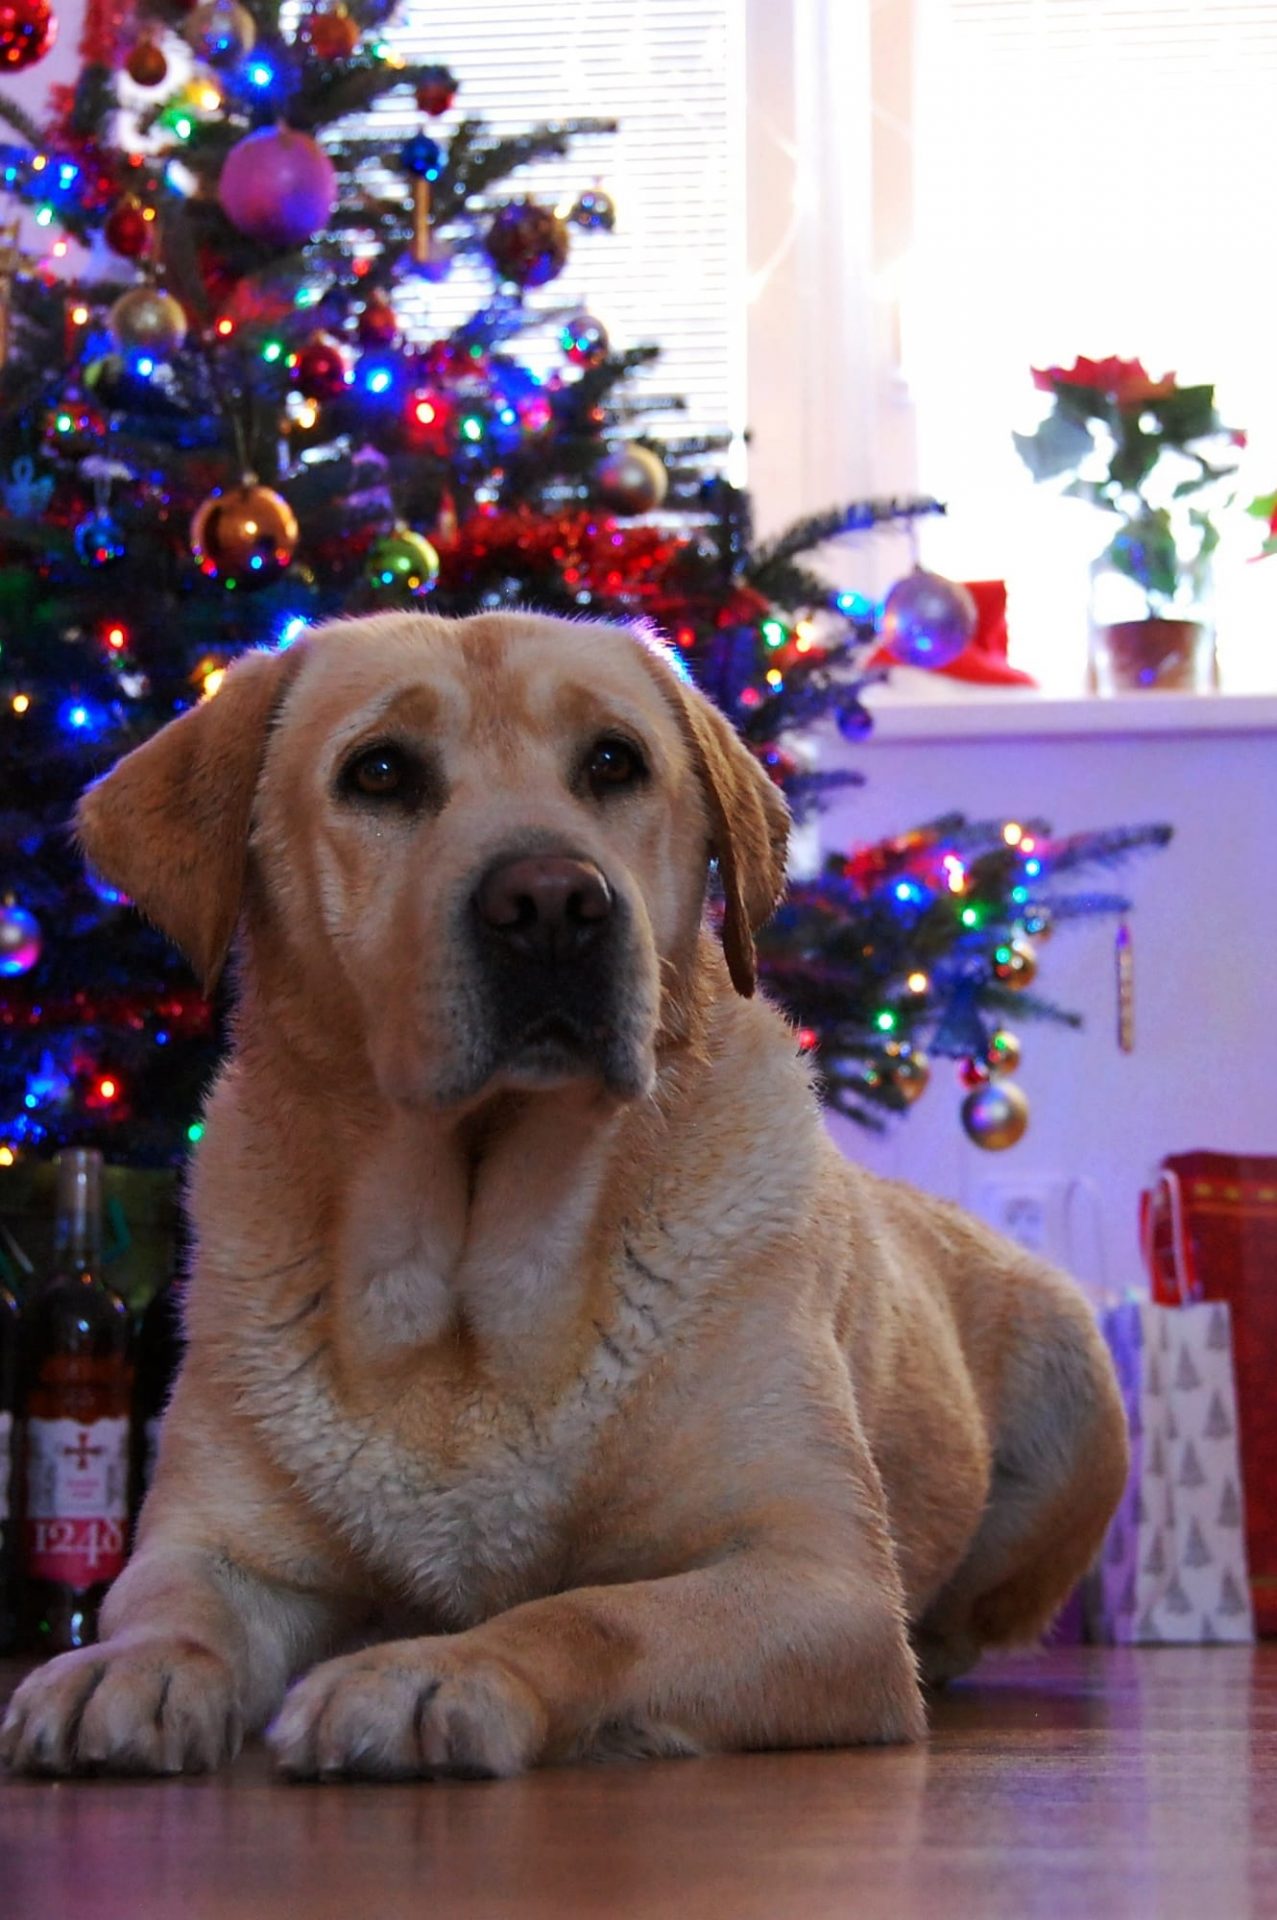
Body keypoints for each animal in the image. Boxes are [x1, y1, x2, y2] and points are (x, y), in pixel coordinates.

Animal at [0, 614, 1121, 1781]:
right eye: (379, 772)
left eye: (613, 763)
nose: (551, 902)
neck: (469, 1295)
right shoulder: (215, 1545)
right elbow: (164, 1605)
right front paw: (127, 1667)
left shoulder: (823, 1581)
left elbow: (589, 1612)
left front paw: (433, 1669)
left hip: (1075, 1398)